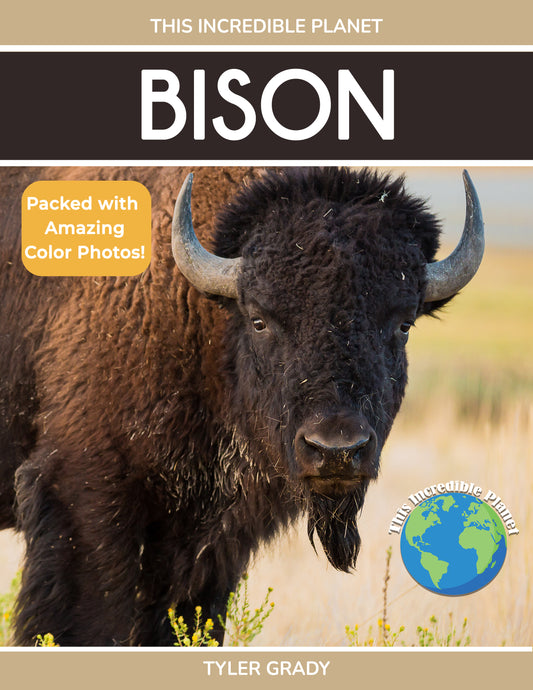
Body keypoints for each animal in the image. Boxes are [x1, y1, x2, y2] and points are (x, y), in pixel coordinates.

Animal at [0, 166, 484, 646]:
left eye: (403, 324)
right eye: (259, 319)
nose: (337, 450)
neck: (200, 316)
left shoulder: (210, 540)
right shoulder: (85, 497)